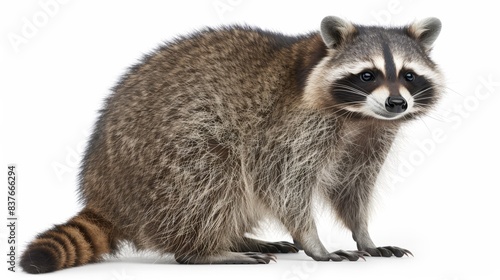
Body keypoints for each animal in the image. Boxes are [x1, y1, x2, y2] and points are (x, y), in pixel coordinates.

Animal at [20, 15, 442, 274]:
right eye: (368, 75)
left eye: (408, 75)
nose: (396, 104)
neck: (358, 117)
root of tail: (105, 194)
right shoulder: (288, 127)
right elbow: (281, 182)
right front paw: (313, 240)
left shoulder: (371, 135)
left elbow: (351, 186)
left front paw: (364, 233)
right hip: (169, 156)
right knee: (212, 175)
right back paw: (205, 250)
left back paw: (236, 236)